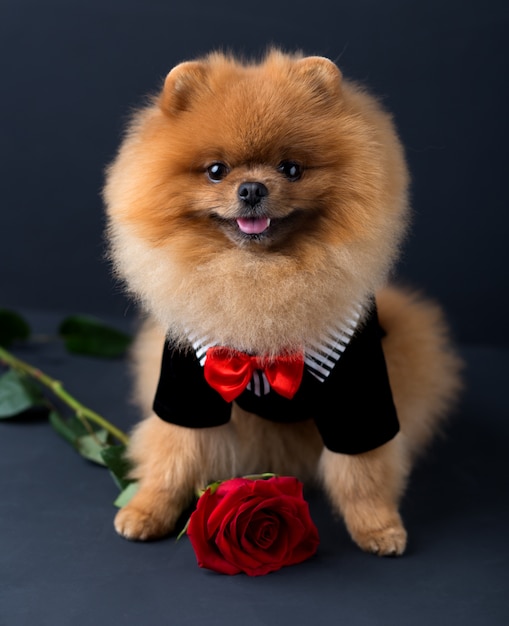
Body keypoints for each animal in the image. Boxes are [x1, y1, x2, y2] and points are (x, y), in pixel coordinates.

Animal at [103, 51, 460, 552]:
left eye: (291, 168)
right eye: (216, 170)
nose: (252, 188)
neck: (259, 277)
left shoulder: (359, 391)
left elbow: (363, 471)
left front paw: (377, 525)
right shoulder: (185, 387)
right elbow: (173, 454)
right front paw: (147, 510)